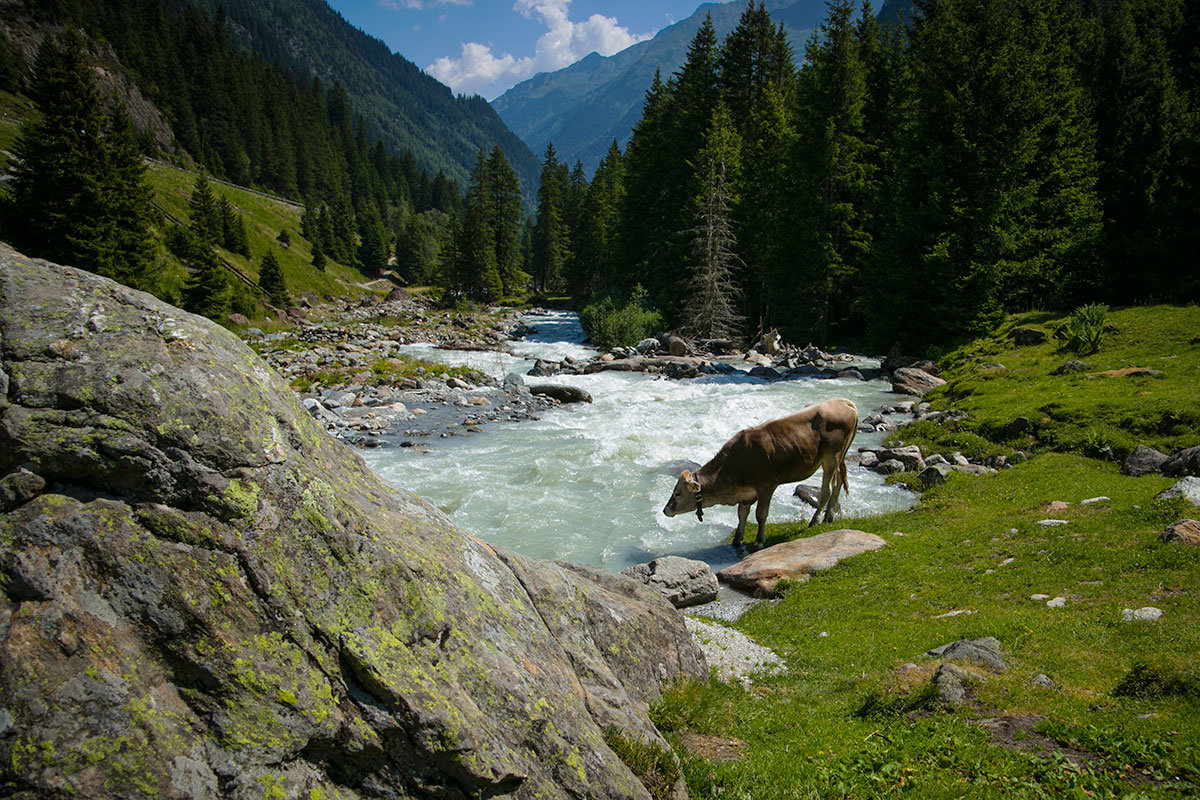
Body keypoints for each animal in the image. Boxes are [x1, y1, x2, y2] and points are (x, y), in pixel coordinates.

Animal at [662, 398, 859, 551]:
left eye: (677, 493)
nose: (665, 510)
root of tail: (844, 401)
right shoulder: (746, 493)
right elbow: (742, 513)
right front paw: (737, 538)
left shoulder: (767, 485)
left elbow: (760, 514)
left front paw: (758, 541)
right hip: (839, 457)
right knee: (838, 483)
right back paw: (829, 516)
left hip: (831, 457)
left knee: (828, 488)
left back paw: (816, 520)